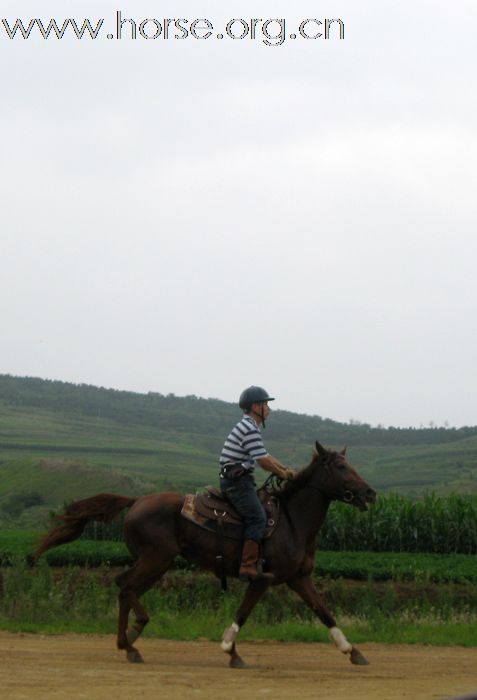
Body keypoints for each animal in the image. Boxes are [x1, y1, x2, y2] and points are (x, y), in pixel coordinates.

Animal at [33, 442, 376, 668]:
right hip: (156, 560)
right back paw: (132, 640)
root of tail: (137, 500)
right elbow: (243, 613)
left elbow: (325, 612)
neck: (292, 521)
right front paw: (230, 650)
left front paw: (354, 652)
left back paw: (127, 641)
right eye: (341, 467)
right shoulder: (262, 579)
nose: (370, 492)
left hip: (153, 563)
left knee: (124, 587)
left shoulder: (298, 578)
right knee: (126, 587)